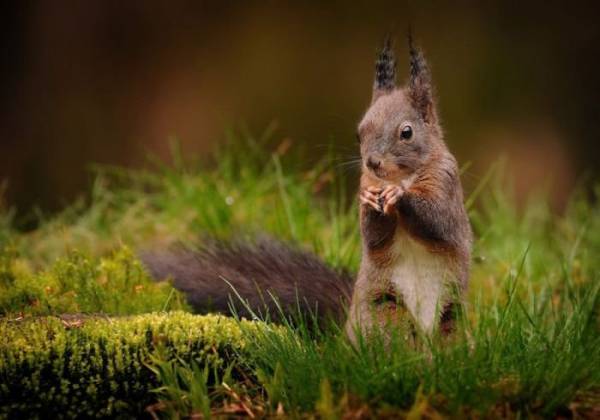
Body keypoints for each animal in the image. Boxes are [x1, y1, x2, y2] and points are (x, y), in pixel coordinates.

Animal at [138, 37, 472, 342]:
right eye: (359, 132)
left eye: (406, 132)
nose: (372, 162)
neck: (399, 176)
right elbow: (374, 237)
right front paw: (369, 202)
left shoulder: (446, 181)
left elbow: (439, 221)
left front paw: (400, 197)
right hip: (385, 309)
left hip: (451, 319)